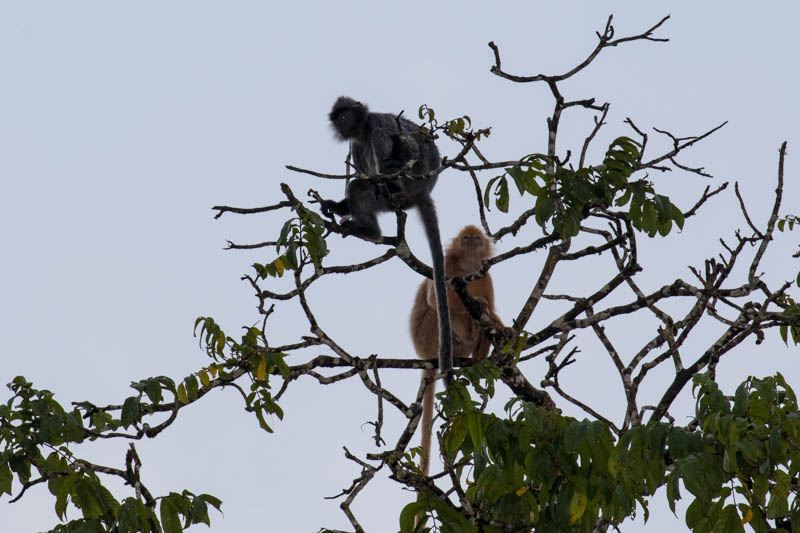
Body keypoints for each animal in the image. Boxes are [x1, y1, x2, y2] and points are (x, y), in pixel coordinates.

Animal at [410, 224, 504, 474]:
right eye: (466, 238)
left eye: (475, 238)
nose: (471, 239)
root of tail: (424, 354)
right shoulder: (446, 262)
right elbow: (435, 298)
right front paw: (478, 306)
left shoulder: (485, 275)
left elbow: (491, 309)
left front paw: (504, 329)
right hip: (429, 335)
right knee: (442, 309)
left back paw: (481, 347)